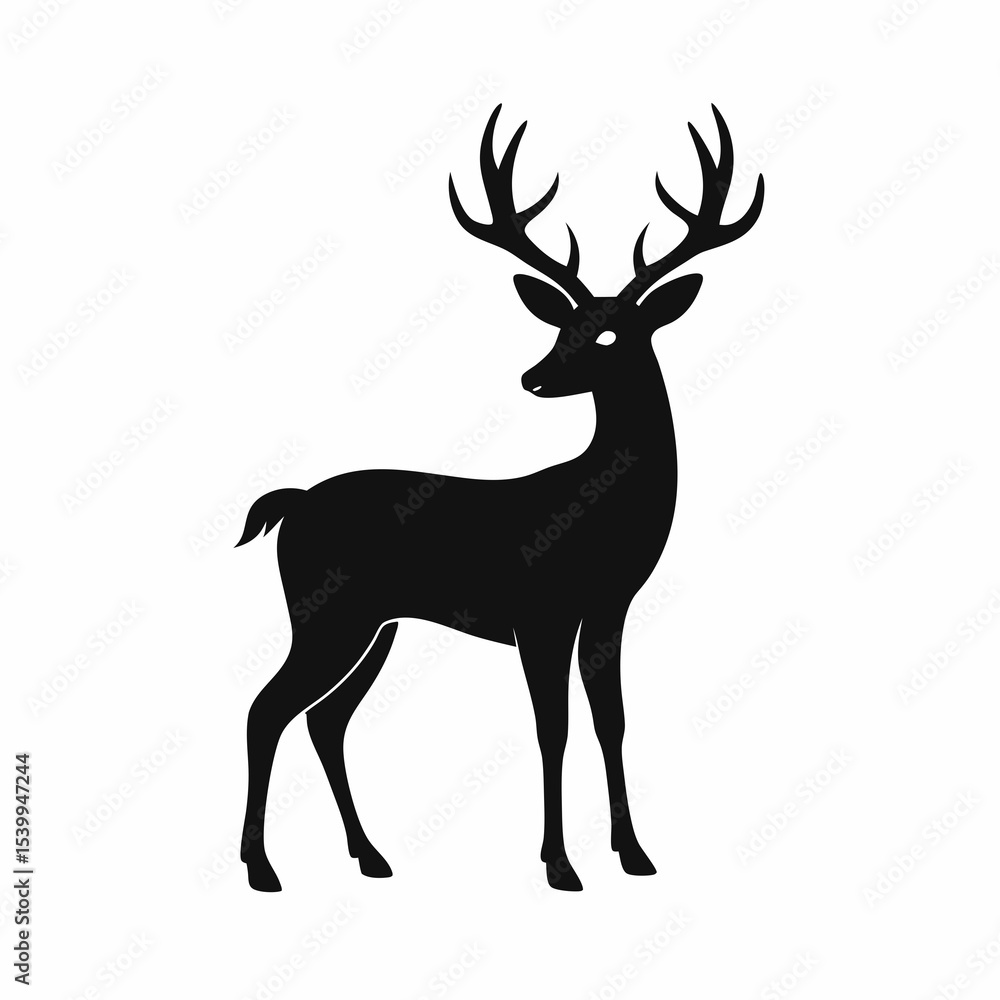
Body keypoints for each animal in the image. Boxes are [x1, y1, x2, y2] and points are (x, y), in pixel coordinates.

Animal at [235, 104, 764, 892]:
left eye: (610, 332)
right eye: (561, 323)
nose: (532, 376)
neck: (600, 510)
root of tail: (290, 505)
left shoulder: (608, 608)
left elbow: (610, 721)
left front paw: (634, 854)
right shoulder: (540, 610)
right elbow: (553, 727)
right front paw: (560, 865)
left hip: (377, 623)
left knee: (324, 720)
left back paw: (370, 856)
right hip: (326, 613)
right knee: (267, 709)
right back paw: (262, 868)